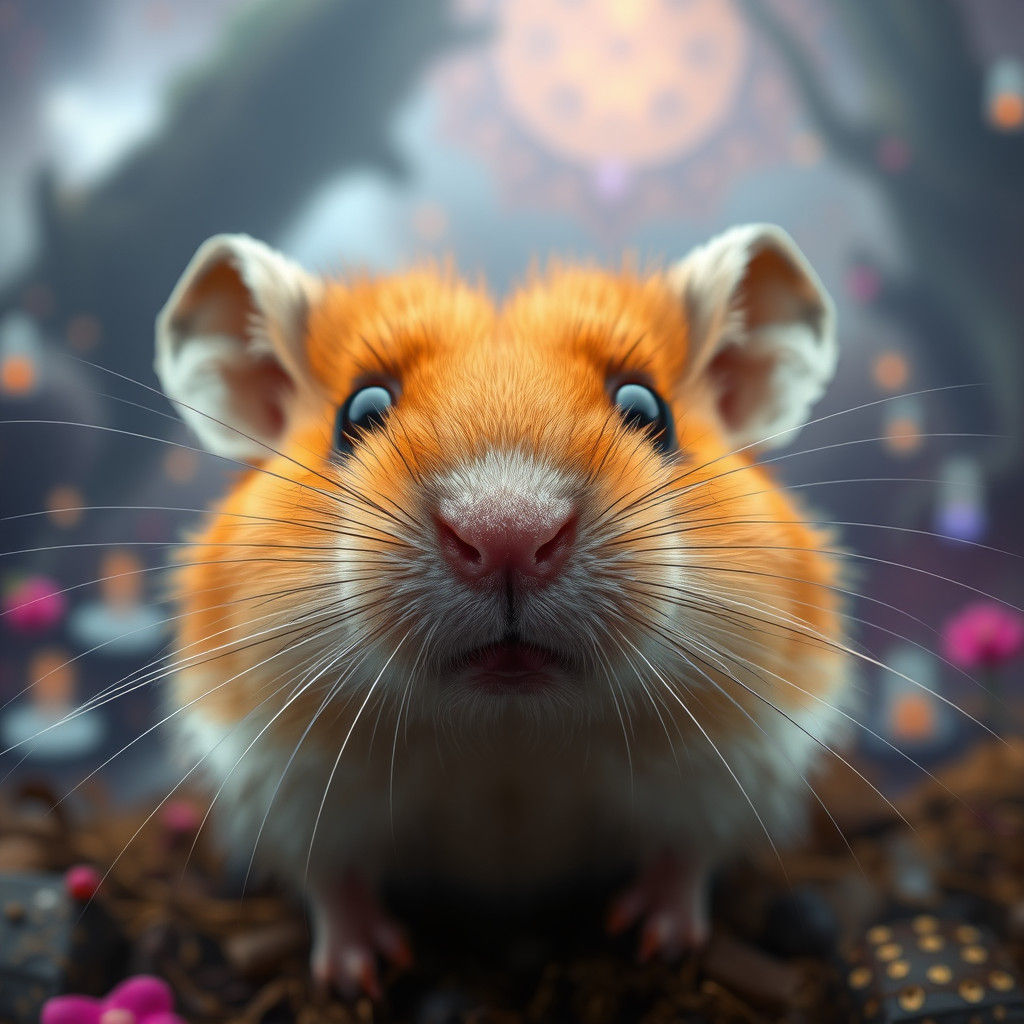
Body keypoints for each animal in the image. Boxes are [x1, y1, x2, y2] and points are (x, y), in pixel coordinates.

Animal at [154, 225, 847, 997]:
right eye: (359, 412)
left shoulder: (729, 769)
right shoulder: (284, 785)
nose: (508, 532)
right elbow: (334, 884)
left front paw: (659, 943)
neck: (508, 734)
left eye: (648, 410)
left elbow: (684, 859)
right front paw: (356, 978)